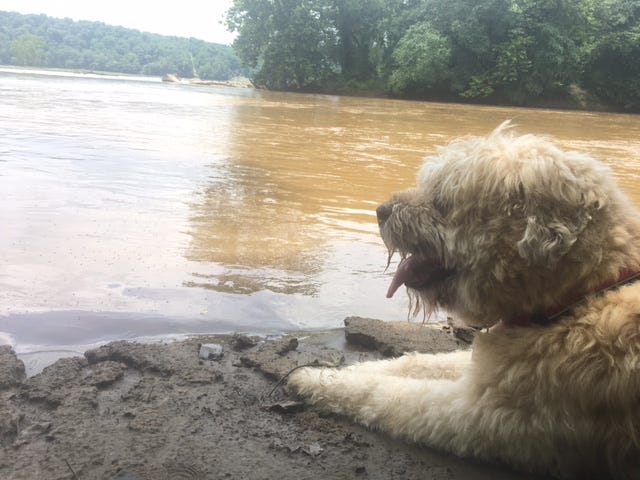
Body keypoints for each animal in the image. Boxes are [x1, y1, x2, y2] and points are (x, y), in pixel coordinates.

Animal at [288, 124, 640, 480]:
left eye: (443, 200)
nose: (381, 211)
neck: (583, 294)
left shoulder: (481, 413)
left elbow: (385, 395)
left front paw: (315, 380)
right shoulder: (485, 370)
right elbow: (415, 362)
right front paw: (339, 370)